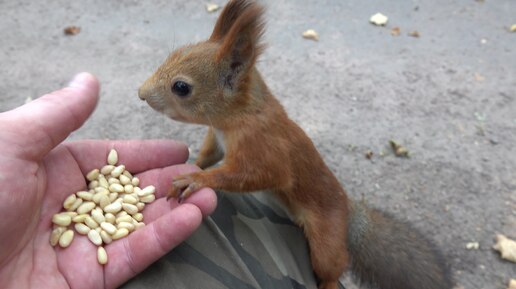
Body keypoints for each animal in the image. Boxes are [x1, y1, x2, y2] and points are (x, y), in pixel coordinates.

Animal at [137, 0, 452, 288]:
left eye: (181, 87)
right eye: (174, 53)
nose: (141, 93)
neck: (238, 116)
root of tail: (349, 214)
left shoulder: (264, 146)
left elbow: (260, 174)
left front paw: (197, 179)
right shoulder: (217, 136)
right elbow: (210, 153)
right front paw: (196, 164)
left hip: (326, 240)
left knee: (333, 266)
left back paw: (328, 283)